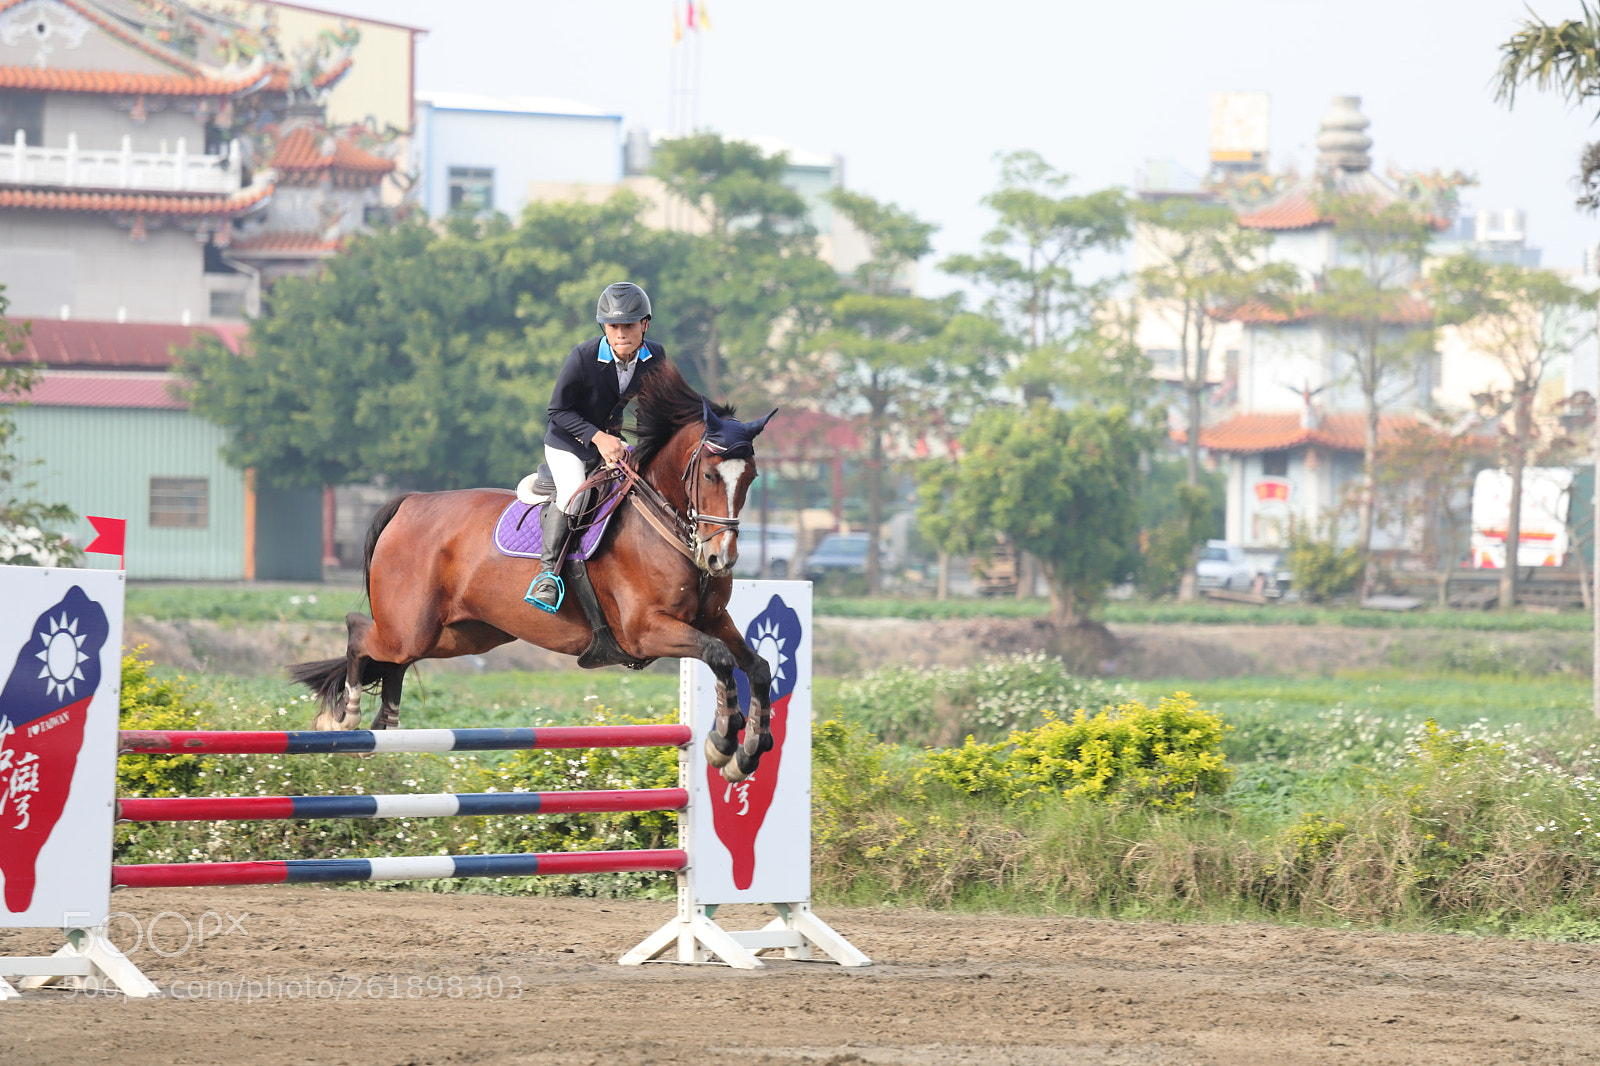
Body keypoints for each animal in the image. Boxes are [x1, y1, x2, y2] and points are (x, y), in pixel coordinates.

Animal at [288, 363, 780, 783]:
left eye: (751, 477)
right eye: (712, 476)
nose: (719, 560)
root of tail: (409, 502)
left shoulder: (711, 619)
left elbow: (755, 665)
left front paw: (747, 750)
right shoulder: (646, 631)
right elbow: (718, 656)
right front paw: (722, 741)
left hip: (459, 634)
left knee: (394, 661)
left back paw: (383, 725)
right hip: (410, 626)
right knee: (360, 632)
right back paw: (345, 717)